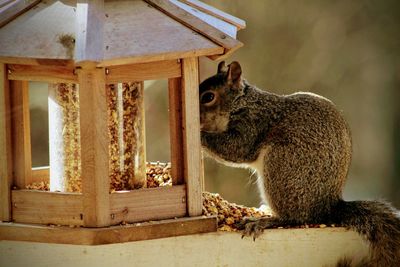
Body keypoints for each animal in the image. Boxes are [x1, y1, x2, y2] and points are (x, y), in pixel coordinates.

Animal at [199, 61, 400, 267]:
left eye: (208, 97)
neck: (242, 103)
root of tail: (326, 208)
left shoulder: (252, 125)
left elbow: (236, 149)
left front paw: (199, 136)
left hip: (282, 166)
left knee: (293, 218)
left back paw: (263, 222)